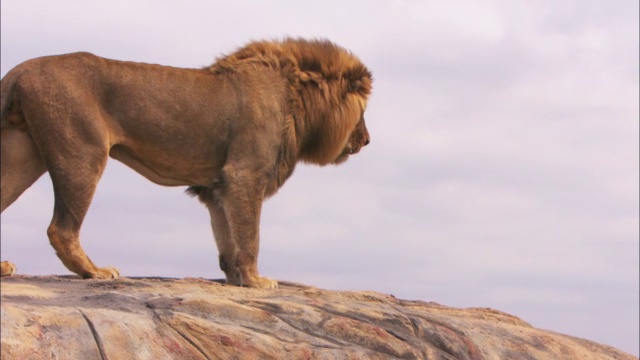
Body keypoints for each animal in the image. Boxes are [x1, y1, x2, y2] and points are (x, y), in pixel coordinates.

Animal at [0, 38, 372, 288]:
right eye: (363, 111)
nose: (367, 140)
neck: (295, 96)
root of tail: (21, 68)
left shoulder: (217, 187)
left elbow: (227, 238)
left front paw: (236, 279)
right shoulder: (244, 175)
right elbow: (250, 236)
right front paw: (256, 280)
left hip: (23, 156)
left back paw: (4, 267)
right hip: (82, 154)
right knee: (60, 229)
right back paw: (94, 271)